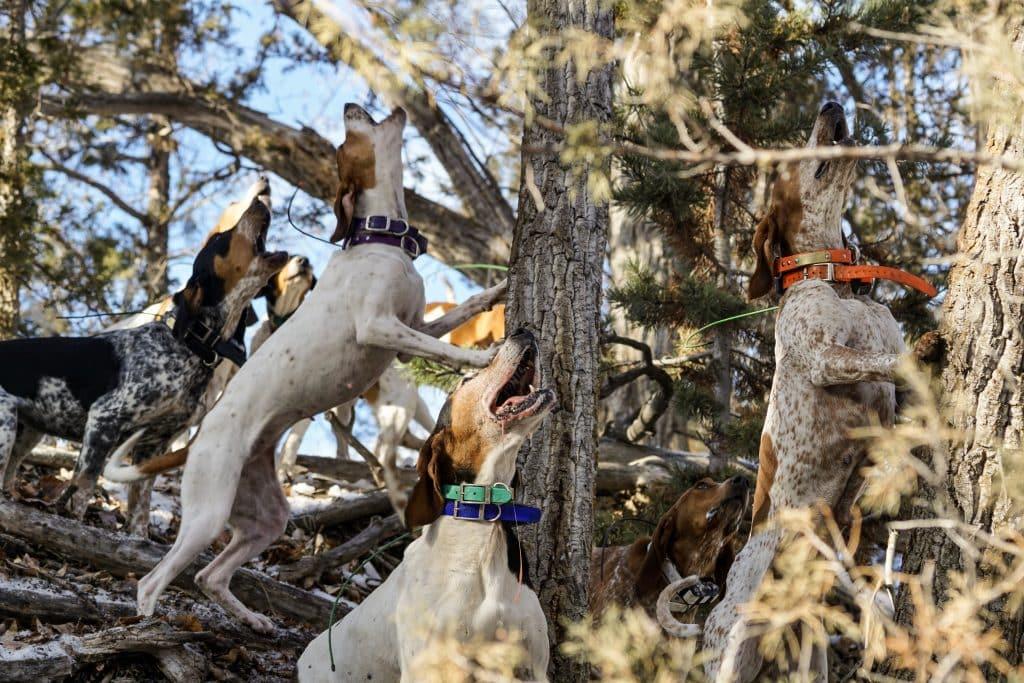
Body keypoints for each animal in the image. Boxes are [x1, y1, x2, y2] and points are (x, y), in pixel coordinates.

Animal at [0, 184, 286, 520]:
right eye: (221, 239)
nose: (260, 201)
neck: (190, 346)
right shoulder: (104, 418)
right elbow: (82, 487)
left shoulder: (153, 447)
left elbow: (140, 509)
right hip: (5, 427)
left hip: (28, 432)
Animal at [131, 104, 507, 634]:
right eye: (345, 142)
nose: (352, 106)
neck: (382, 241)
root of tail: (198, 438)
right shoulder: (377, 326)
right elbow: (443, 351)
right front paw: (478, 359)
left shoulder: (411, 330)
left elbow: (453, 321)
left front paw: (496, 292)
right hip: (208, 511)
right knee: (153, 580)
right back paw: (147, 622)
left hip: (266, 515)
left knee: (210, 576)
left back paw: (253, 620)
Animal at [704, 102, 937, 683]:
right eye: (791, 154)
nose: (830, 103)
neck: (833, 278)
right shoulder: (825, 358)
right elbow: (883, 362)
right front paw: (926, 348)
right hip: (728, 648)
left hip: (810, 656)